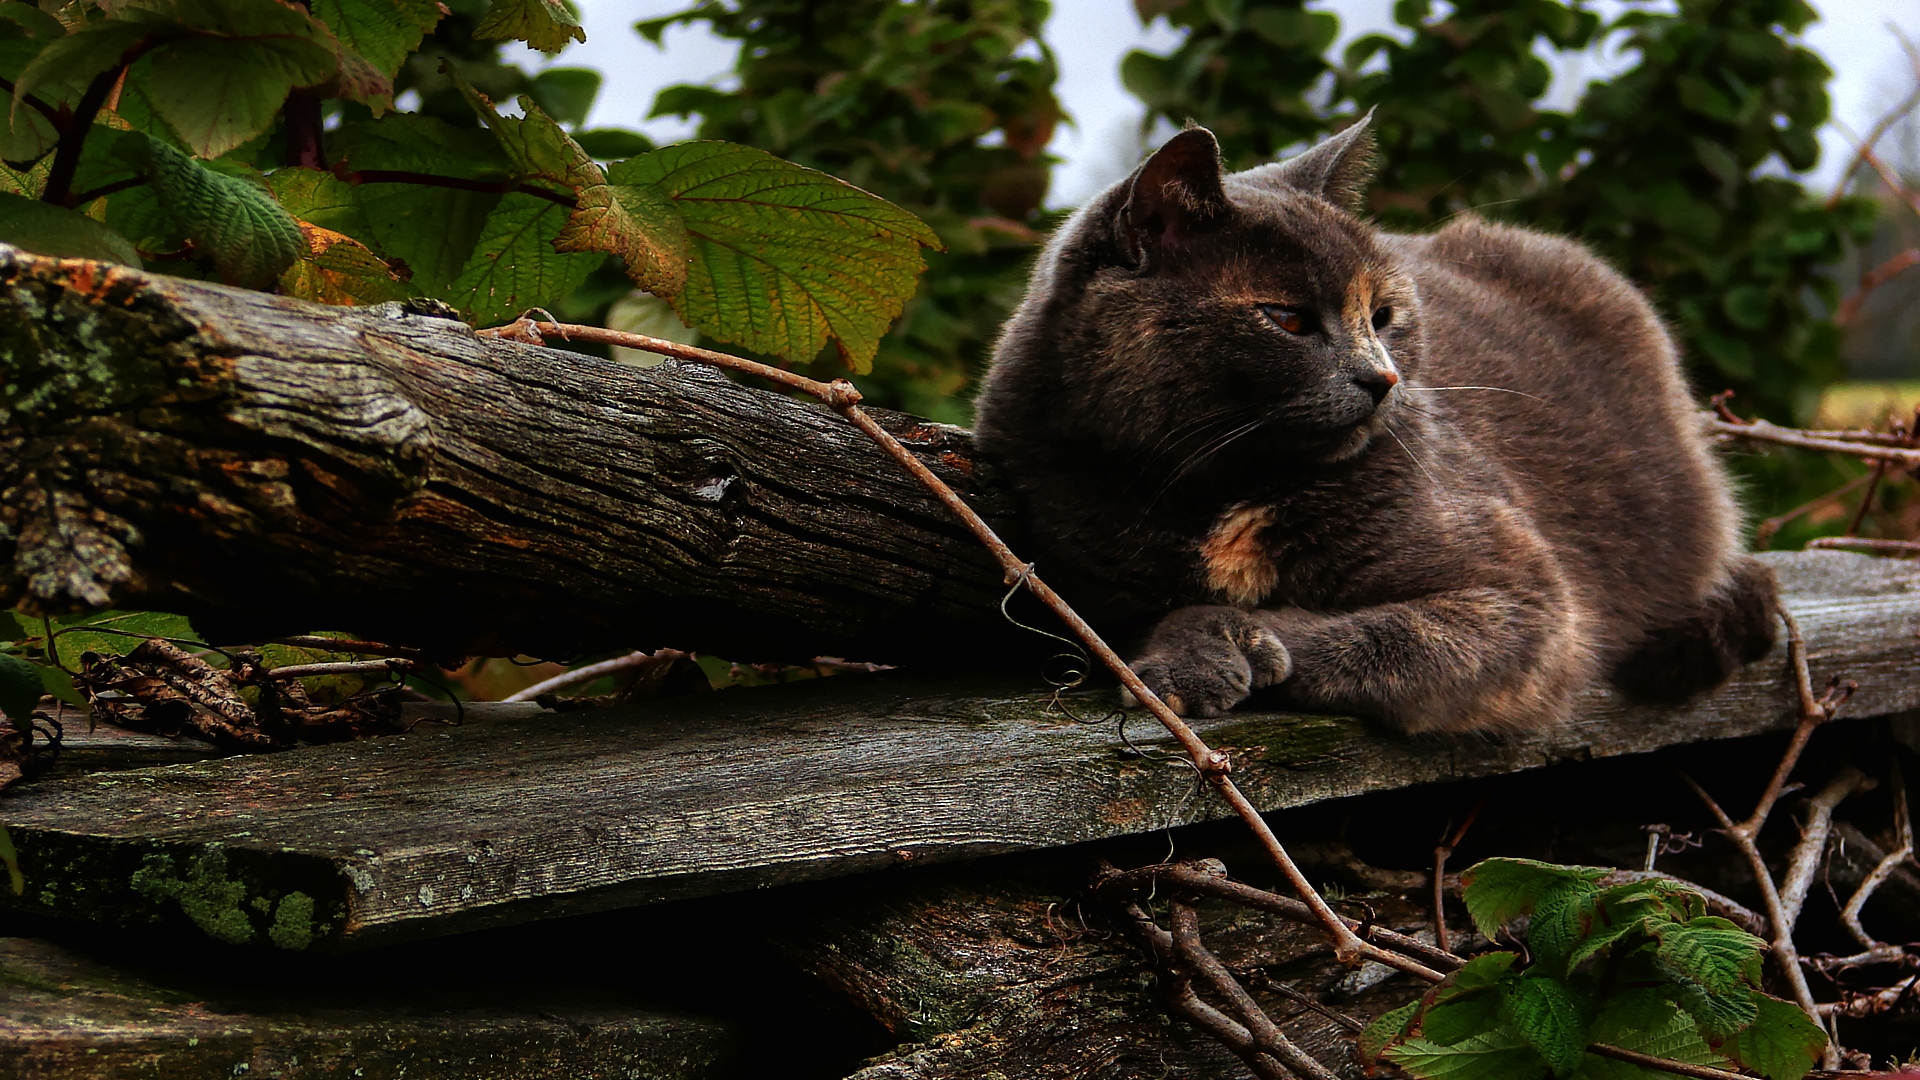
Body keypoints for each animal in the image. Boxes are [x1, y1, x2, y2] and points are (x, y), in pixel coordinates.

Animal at [983, 117, 1774, 730]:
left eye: (1385, 316)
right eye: (1287, 319)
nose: (1382, 377)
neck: (1224, 488)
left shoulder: (1530, 604)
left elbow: (1378, 634)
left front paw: (1231, 643)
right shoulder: (1085, 565)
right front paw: (1194, 655)